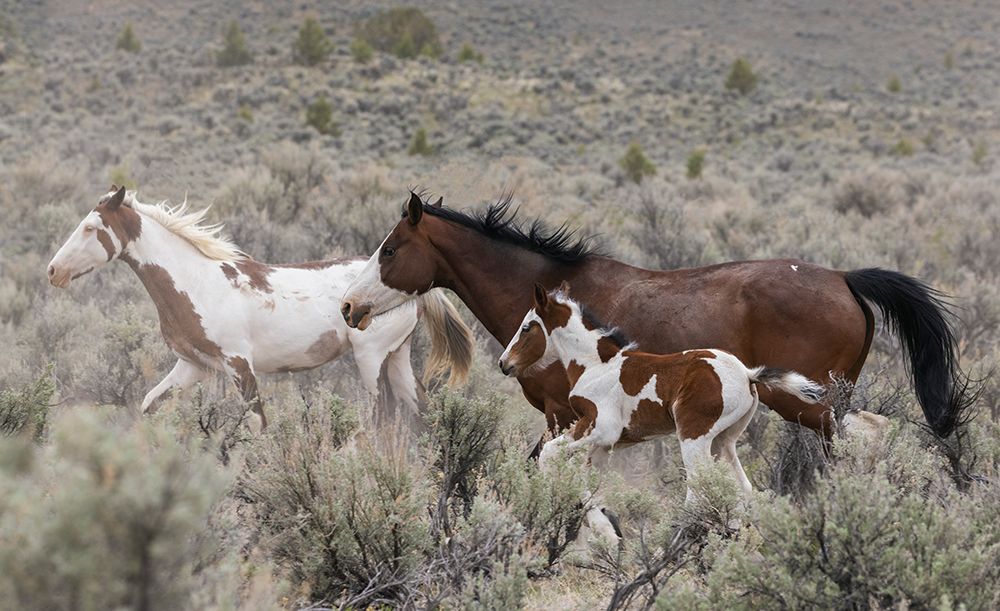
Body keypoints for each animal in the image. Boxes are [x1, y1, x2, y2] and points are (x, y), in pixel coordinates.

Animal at [47, 186, 474, 428]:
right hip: (398, 356)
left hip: (371, 358)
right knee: (422, 410)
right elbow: (150, 405)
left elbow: (257, 424)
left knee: (381, 415)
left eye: (90, 228)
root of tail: (418, 291)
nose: (54, 271)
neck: (197, 282)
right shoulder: (193, 367)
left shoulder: (239, 365)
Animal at [498, 282, 825, 503]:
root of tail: (748, 374)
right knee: (743, 489)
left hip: (693, 435)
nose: (504, 363)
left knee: (698, 489)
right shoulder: (607, 444)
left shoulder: (599, 428)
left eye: (526, 327)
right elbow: (589, 485)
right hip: (724, 440)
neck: (595, 364)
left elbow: (548, 454)